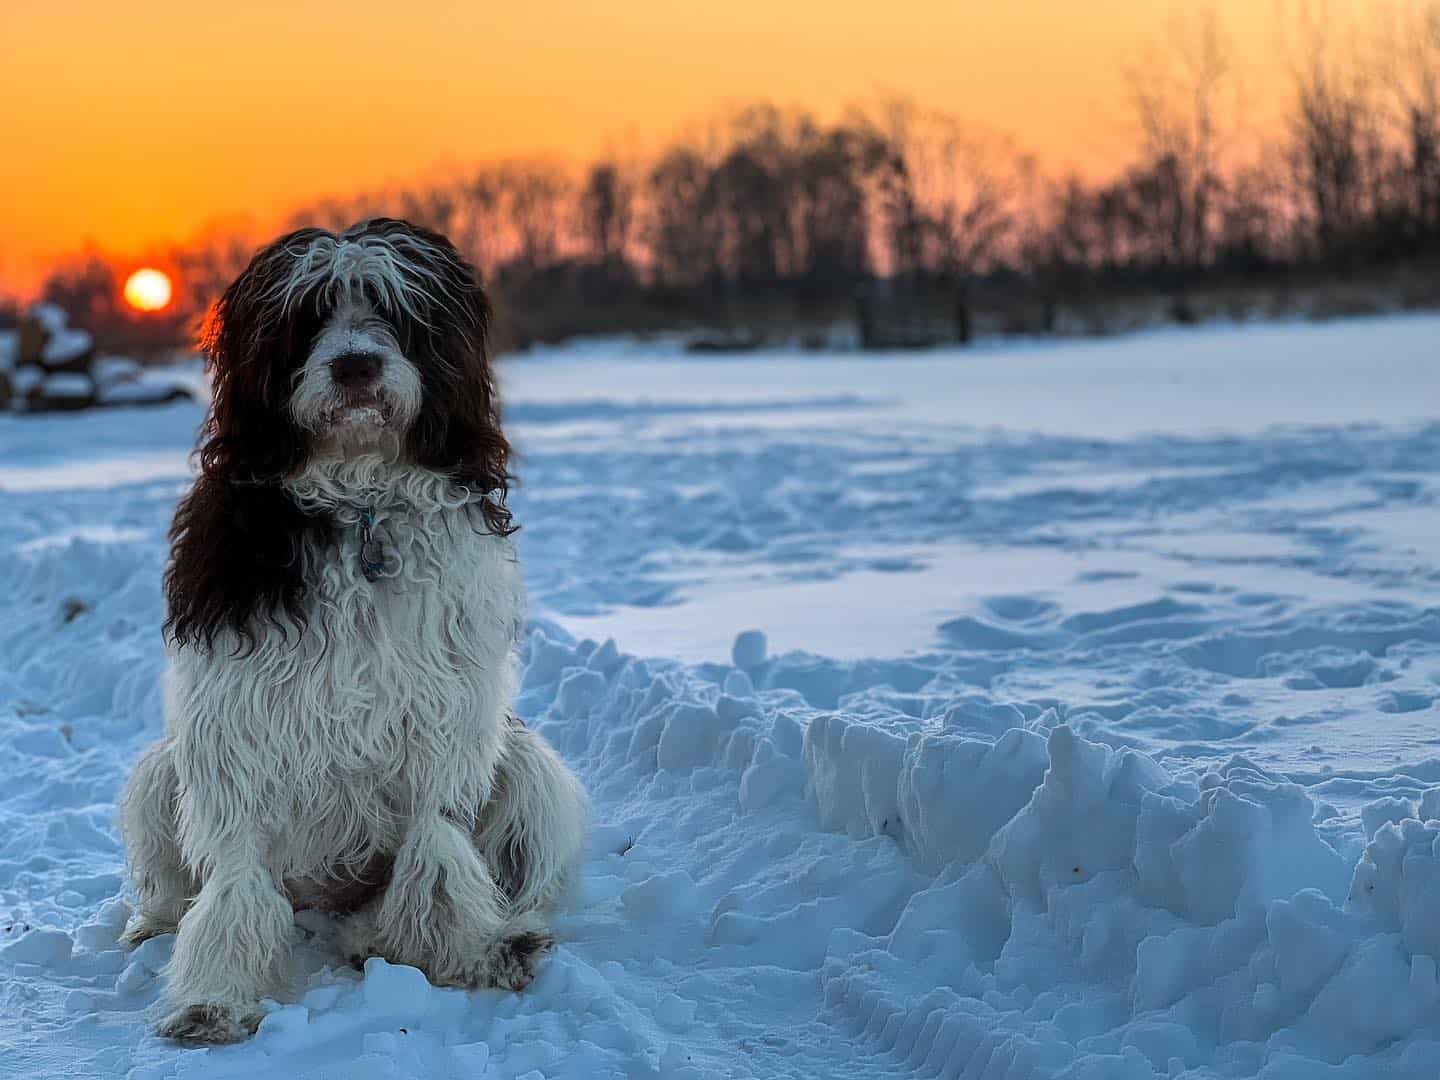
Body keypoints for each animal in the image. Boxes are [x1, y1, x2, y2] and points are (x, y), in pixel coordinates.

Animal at [118, 221, 587, 1048]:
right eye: (307, 316)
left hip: (527, 767)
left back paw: (407, 935)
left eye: (396, 313)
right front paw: (215, 995)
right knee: (177, 881)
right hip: (159, 775)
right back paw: (157, 926)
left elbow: (437, 847)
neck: (360, 500)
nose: (357, 366)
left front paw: (469, 951)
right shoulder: (234, 720)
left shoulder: (444, 714)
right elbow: (235, 874)